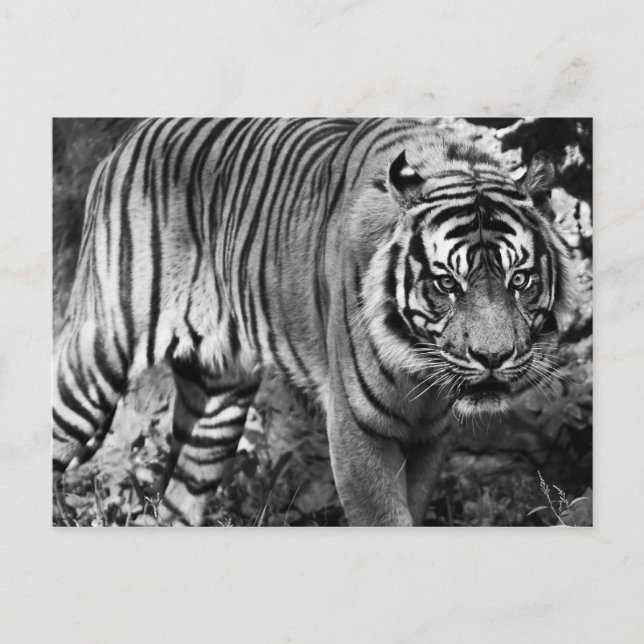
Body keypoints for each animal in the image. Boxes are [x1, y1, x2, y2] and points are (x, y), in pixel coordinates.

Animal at [53, 118, 575, 526]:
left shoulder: (430, 436)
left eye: (520, 279)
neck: (419, 370)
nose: (493, 357)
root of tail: (129, 138)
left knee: (182, 497)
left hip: (218, 402)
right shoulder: (357, 427)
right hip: (98, 355)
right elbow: (386, 518)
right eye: (447, 283)